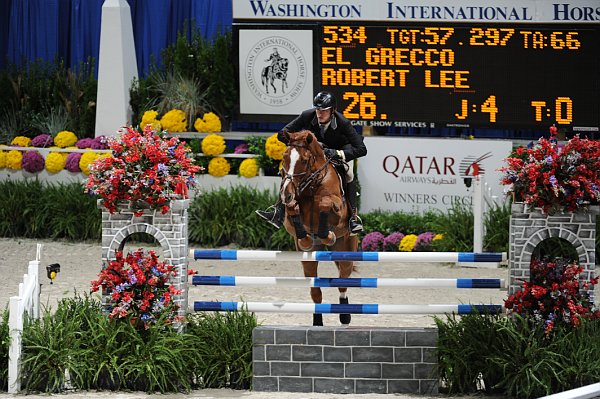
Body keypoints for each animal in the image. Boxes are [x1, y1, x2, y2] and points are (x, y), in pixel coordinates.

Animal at [280, 130, 358, 326]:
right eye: (284, 157)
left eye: (304, 160)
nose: (286, 193)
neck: (312, 185)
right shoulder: (290, 217)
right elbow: (293, 211)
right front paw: (306, 238)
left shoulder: (338, 211)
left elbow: (325, 204)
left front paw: (328, 235)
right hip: (309, 259)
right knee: (315, 291)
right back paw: (317, 323)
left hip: (346, 249)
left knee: (342, 282)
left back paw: (345, 316)